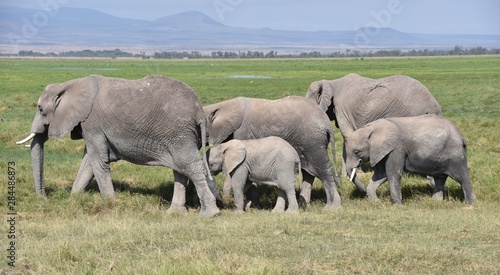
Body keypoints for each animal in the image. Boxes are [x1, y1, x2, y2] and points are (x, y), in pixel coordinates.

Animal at [16, 74, 220, 217]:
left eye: (40, 109)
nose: (44, 197)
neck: (70, 84)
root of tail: (199, 110)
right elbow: (88, 162)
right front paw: (74, 199)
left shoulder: (92, 123)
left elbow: (98, 160)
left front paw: (110, 204)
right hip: (180, 135)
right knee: (180, 169)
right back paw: (174, 213)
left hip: (179, 133)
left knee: (190, 166)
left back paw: (209, 214)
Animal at [203, 96, 340, 210]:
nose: (222, 202)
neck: (225, 105)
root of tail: (327, 123)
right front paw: (252, 205)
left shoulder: (242, 132)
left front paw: (242, 201)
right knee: (309, 172)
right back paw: (303, 204)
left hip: (313, 142)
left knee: (322, 171)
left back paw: (332, 207)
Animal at [304, 73, 442, 193]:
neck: (331, 82)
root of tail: (434, 105)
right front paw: (346, 176)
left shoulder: (341, 108)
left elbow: (348, 136)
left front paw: (356, 173)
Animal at [344, 113, 476, 206]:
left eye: (356, 152)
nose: (361, 191)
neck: (372, 127)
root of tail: (462, 136)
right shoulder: (382, 151)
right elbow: (381, 174)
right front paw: (376, 202)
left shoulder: (397, 148)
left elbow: (393, 173)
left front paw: (398, 206)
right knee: (440, 178)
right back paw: (436, 202)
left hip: (454, 155)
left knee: (461, 177)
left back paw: (470, 204)